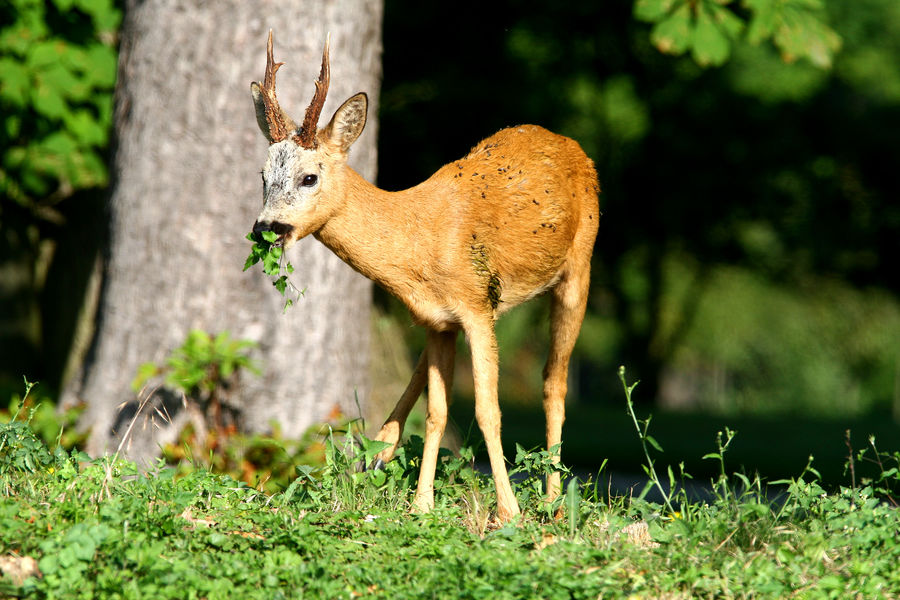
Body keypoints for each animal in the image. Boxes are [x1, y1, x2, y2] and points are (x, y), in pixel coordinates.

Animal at [248, 30, 596, 524]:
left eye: (309, 177)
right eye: (262, 176)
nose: (266, 228)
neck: (419, 242)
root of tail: (570, 144)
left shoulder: (476, 306)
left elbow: (487, 411)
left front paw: (507, 510)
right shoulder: (439, 320)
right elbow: (437, 412)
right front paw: (422, 503)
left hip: (577, 269)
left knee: (555, 380)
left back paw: (551, 498)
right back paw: (381, 449)